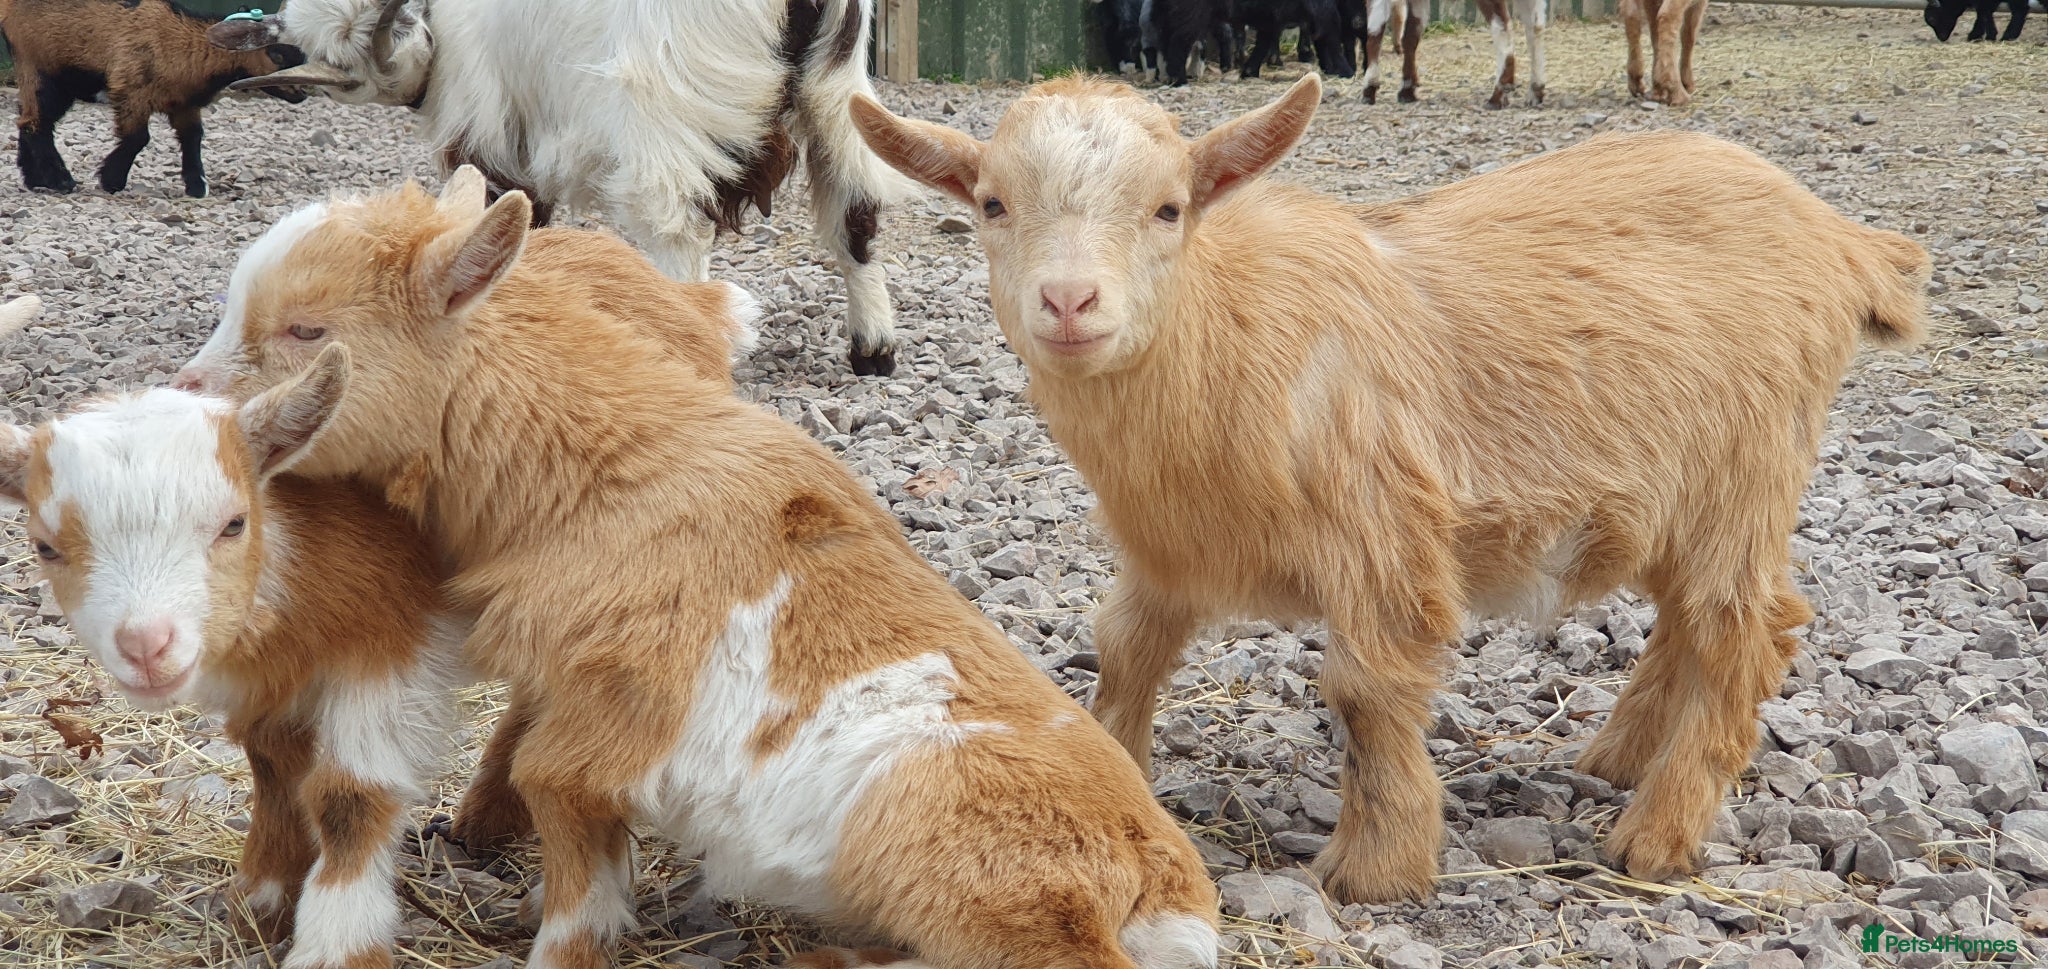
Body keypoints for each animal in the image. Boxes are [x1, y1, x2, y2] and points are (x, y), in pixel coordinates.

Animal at [1, 0, 305, 198]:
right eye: (277, 54)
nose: (301, 94)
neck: (183, 43)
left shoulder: (184, 103)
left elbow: (192, 137)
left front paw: (197, 186)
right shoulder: (130, 90)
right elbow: (138, 138)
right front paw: (111, 180)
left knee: (30, 121)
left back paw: (36, 180)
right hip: (40, 67)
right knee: (36, 123)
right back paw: (61, 181)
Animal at [172, 168, 1221, 969]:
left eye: (308, 329)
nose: (188, 393)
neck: (604, 469)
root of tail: (1161, 883)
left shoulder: (603, 714)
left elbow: (570, 840)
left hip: (975, 866)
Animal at [208, 0, 911, 376]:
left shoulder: (484, 122)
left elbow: (500, 217)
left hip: (661, 109)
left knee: (678, 234)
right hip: (837, 90)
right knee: (858, 214)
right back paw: (873, 350)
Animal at [851, 75, 1931, 903]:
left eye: (1168, 208)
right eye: (992, 204)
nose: (1070, 302)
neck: (1227, 333)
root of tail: (1840, 238)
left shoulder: (1380, 527)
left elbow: (1367, 688)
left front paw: (1378, 867)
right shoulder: (1171, 551)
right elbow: (1123, 650)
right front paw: (1116, 780)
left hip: (1746, 468)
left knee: (1747, 629)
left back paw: (1655, 835)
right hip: (1670, 493)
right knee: (1685, 619)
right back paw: (1615, 758)